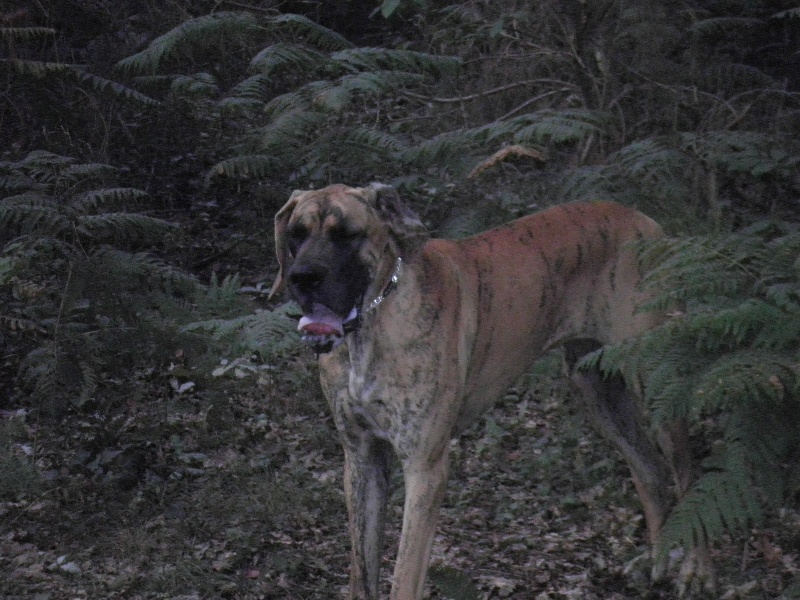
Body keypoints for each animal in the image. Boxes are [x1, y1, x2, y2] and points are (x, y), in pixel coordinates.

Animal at [269, 183, 705, 599]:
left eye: (347, 234)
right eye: (296, 234)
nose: (302, 277)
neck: (376, 317)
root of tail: (646, 221)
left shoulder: (425, 470)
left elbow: (404, 577)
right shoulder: (362, 459)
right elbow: (362, 573)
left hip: (657, 383)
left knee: (688, 477)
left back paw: (696, 571)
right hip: (597, 393)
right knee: (650, 472)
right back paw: (657, 563)